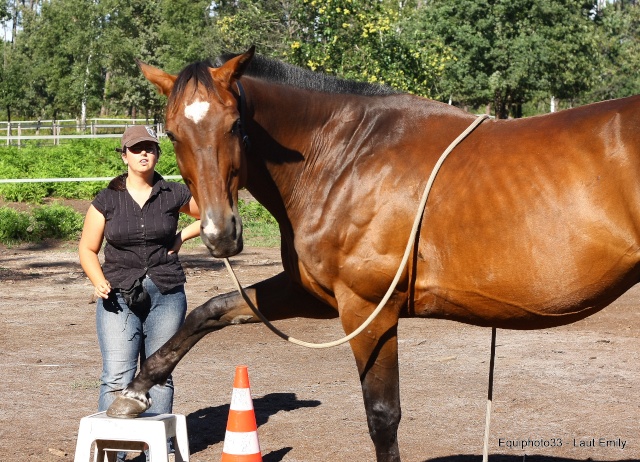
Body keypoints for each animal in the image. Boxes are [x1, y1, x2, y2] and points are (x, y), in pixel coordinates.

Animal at [110, 45, 640, 460]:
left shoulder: (367, 309)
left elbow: (382, 417)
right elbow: (211, 311)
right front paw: (134, 393)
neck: (344, 157)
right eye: (173, 132)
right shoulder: (316, 296)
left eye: (236, 124)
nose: (220, 234)